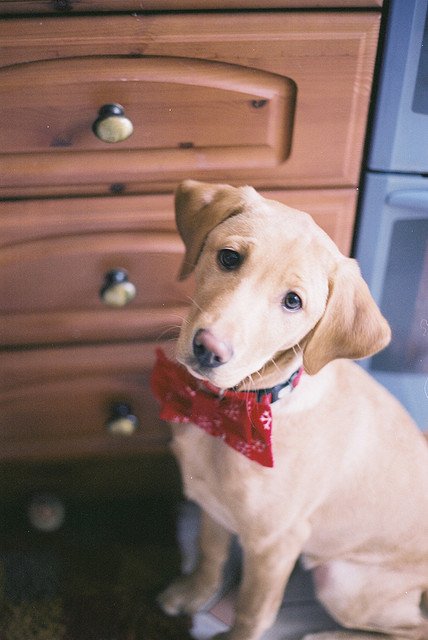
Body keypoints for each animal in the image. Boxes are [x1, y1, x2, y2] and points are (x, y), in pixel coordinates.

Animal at [154, 180, 428, 640]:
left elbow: (253, 610)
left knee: (412, 627)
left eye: (293, 302)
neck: (233, 409)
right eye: (229, 257)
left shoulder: (275, 544)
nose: (209, 349)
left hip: (343, 583)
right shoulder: (213, 503)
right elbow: (210, 553)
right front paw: (195, 593)